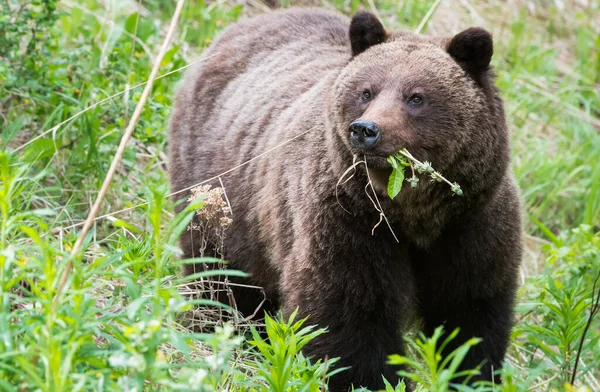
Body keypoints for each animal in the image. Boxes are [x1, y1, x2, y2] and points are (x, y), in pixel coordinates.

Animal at [168, 6, 520, 392]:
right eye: (367, 91)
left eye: (416, 96)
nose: (366, 130)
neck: (413, 215)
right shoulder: (347, 220)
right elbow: (350, 313)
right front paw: (368, 379)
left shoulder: (471, 224)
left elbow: (470, 312)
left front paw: (472, 375)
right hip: (221, 193)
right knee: (221, 273)